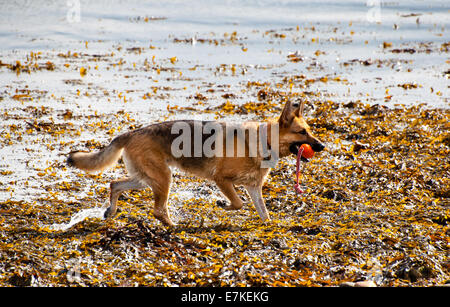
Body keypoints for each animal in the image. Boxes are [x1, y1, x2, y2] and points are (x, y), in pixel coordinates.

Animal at [67, 101, 324, 226]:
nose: (322, 146)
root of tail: (130, 133)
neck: (265, 141)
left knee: (115, 185)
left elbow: (264, 213)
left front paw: (270, 226)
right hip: (163, 179)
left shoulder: (253, 188)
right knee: (157, 210)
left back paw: (111, 211)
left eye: (310, 131)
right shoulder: (222, 180)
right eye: (302, 132)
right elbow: (238, 203)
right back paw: (174, 227)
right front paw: (222, 205)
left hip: (146, 179)